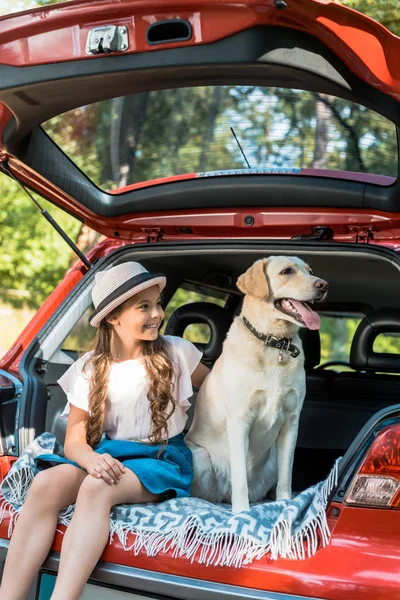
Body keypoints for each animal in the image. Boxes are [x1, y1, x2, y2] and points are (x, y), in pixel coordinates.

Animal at [186, 255, 326, 512]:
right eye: (287, 271)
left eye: (310, 271)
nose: (323, 285)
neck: (275, 344)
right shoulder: (240, 420)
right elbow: (240, 475)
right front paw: (241, 512)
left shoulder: (291, 423)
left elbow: (286, 476)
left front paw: (285, 503)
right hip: (200, 457)